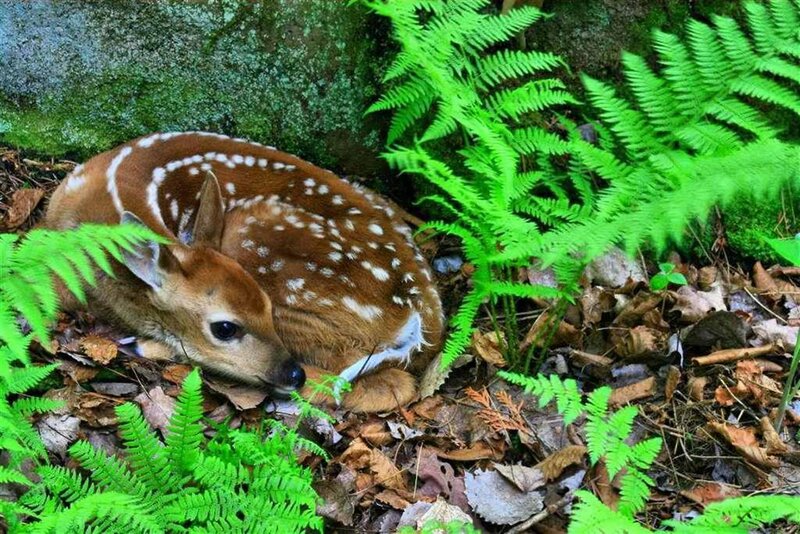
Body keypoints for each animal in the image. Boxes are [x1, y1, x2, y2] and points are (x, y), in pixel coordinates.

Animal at [44, 131, 444, 412]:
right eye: (224, 328)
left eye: (266, 306)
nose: (293, 373)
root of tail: (420, 318)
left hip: (255, 235)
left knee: (383, 383)